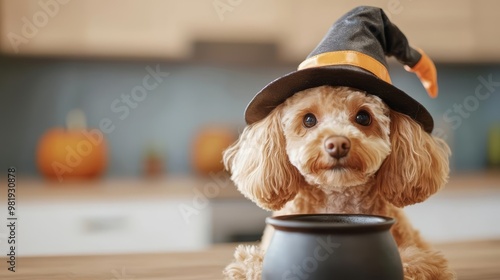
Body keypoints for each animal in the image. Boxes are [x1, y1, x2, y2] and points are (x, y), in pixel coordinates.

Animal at [222, 85, 454, 280]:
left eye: (363, 117)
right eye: (308, 120)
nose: (338, 144)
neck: (338, 205)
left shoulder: (425, 257)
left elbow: (418, 263)